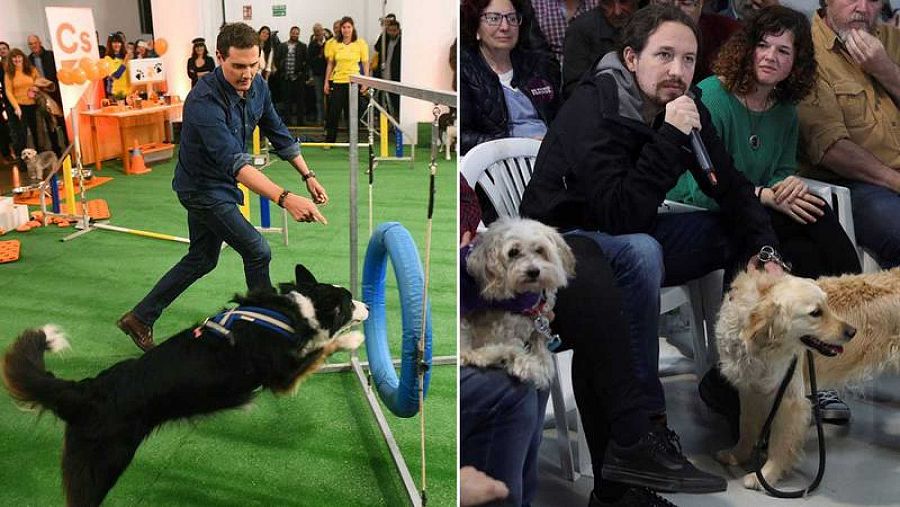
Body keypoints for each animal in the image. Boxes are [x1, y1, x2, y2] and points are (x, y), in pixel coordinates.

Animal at [460, 217, 572, 388]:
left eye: (540, 250)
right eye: (513, 252)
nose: (533, 271)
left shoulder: (539, 323)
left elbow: (542, 349)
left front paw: (542, 365)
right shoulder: (497, 330)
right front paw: (527, 365)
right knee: (468, 353)